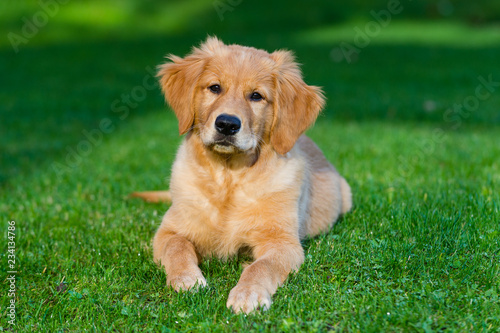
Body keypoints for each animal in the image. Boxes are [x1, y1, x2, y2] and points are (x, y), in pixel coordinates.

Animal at [134, 37, 352, 312]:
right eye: (215, 88)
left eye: (256, 96)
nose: (227, 124)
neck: (228, 178)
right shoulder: (170, 230)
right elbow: (177, 247)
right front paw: (187, 279)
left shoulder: (282, 242)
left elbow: (261, 266)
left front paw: (248, 293)